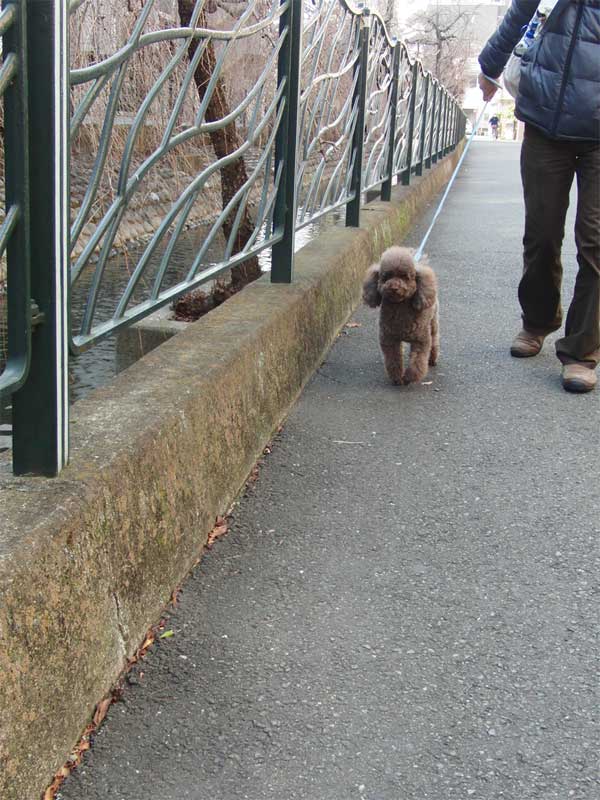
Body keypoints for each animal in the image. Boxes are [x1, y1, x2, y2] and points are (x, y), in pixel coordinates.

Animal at [362, 246, 439, 385]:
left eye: (405, 277)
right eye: (386, 276)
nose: (394, 287)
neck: (400, 307)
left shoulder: (421, 340)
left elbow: (417, 362)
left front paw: (409, 377)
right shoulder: (389, 339)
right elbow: (393, 359)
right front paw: (397, 377)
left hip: (433, 322)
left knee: (435, 339)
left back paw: (432, 359)